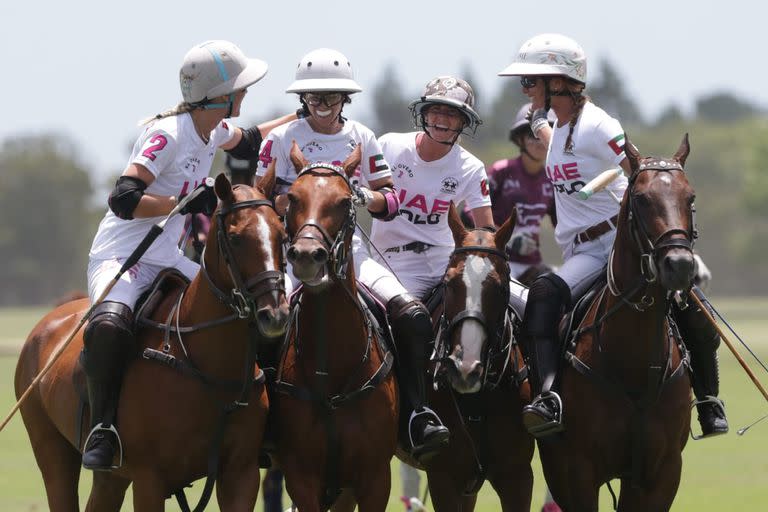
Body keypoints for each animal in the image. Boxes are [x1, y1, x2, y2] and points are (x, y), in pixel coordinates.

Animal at [15, 169, 292, 512]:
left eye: (282, 235)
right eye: (237, 237)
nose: (275, 314)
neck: (207, 364)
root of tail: (47, 322)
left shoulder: (241, 473)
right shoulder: (150, 478)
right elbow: (126, 193)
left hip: (111, 476)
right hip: (50, 449)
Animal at [544, 134, 700, 510]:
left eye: (690, 197)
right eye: (641, 198)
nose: (679, 265)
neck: (633, 361)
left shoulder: (661, 473)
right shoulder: (577, 470)